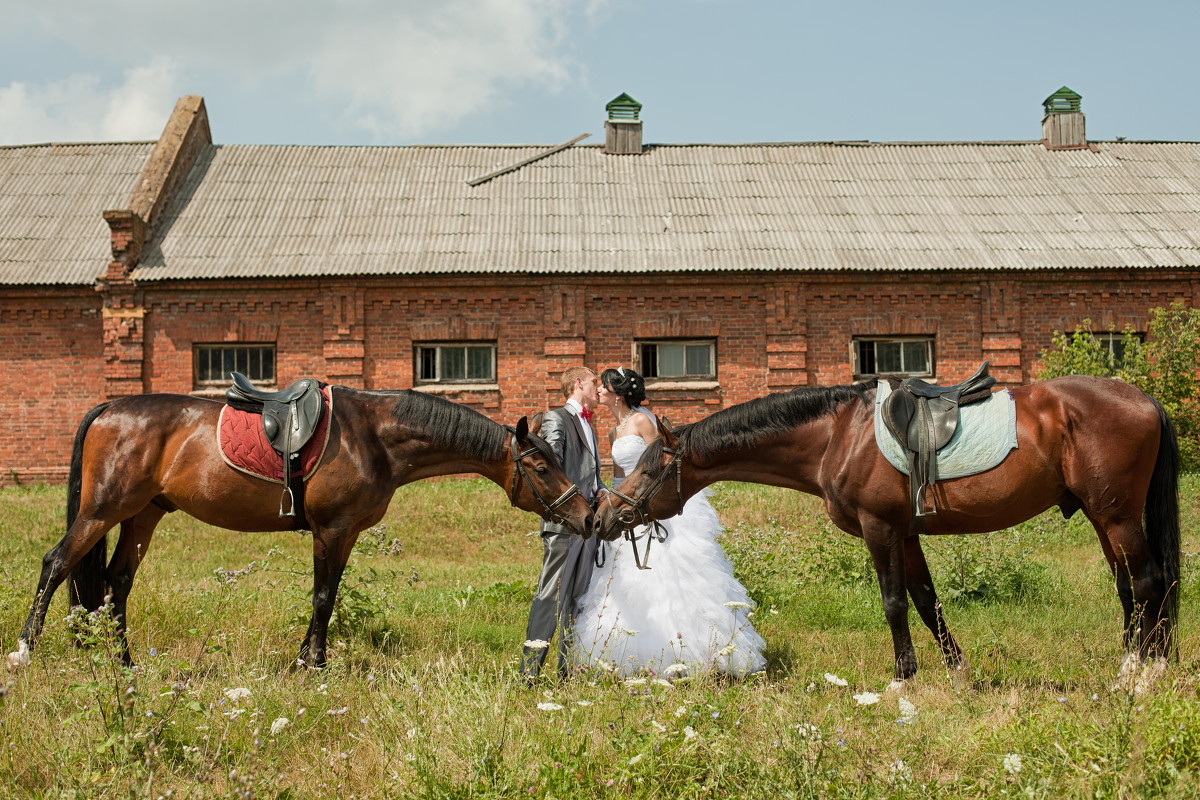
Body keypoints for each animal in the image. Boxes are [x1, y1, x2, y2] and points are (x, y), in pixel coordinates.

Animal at [7, 388, 592, 671]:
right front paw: (312, 664)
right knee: (57, 564)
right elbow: (323, 597)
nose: (586, 515)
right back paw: (24, 652)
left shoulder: (345, 533)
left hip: (142, 515)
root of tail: (110, 406)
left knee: (116, 582)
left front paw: (310, 659)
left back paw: (123, 663)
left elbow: (326, 596)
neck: (374, 436)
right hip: (101, 510)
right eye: (542, 466)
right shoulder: (331, 530)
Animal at [595, 376, 1176, 681]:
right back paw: (1132, 663)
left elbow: (894, 601)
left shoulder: (879, 529)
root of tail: (1146, 400)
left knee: (1148, 582)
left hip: (1116, 516)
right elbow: (926, 599)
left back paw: (1143, 674)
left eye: (647, 467)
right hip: (1103, 517)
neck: (837, 436)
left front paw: (903, 677)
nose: (602, 517)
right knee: (1130, 587)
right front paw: (957, 673)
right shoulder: (906, 532)